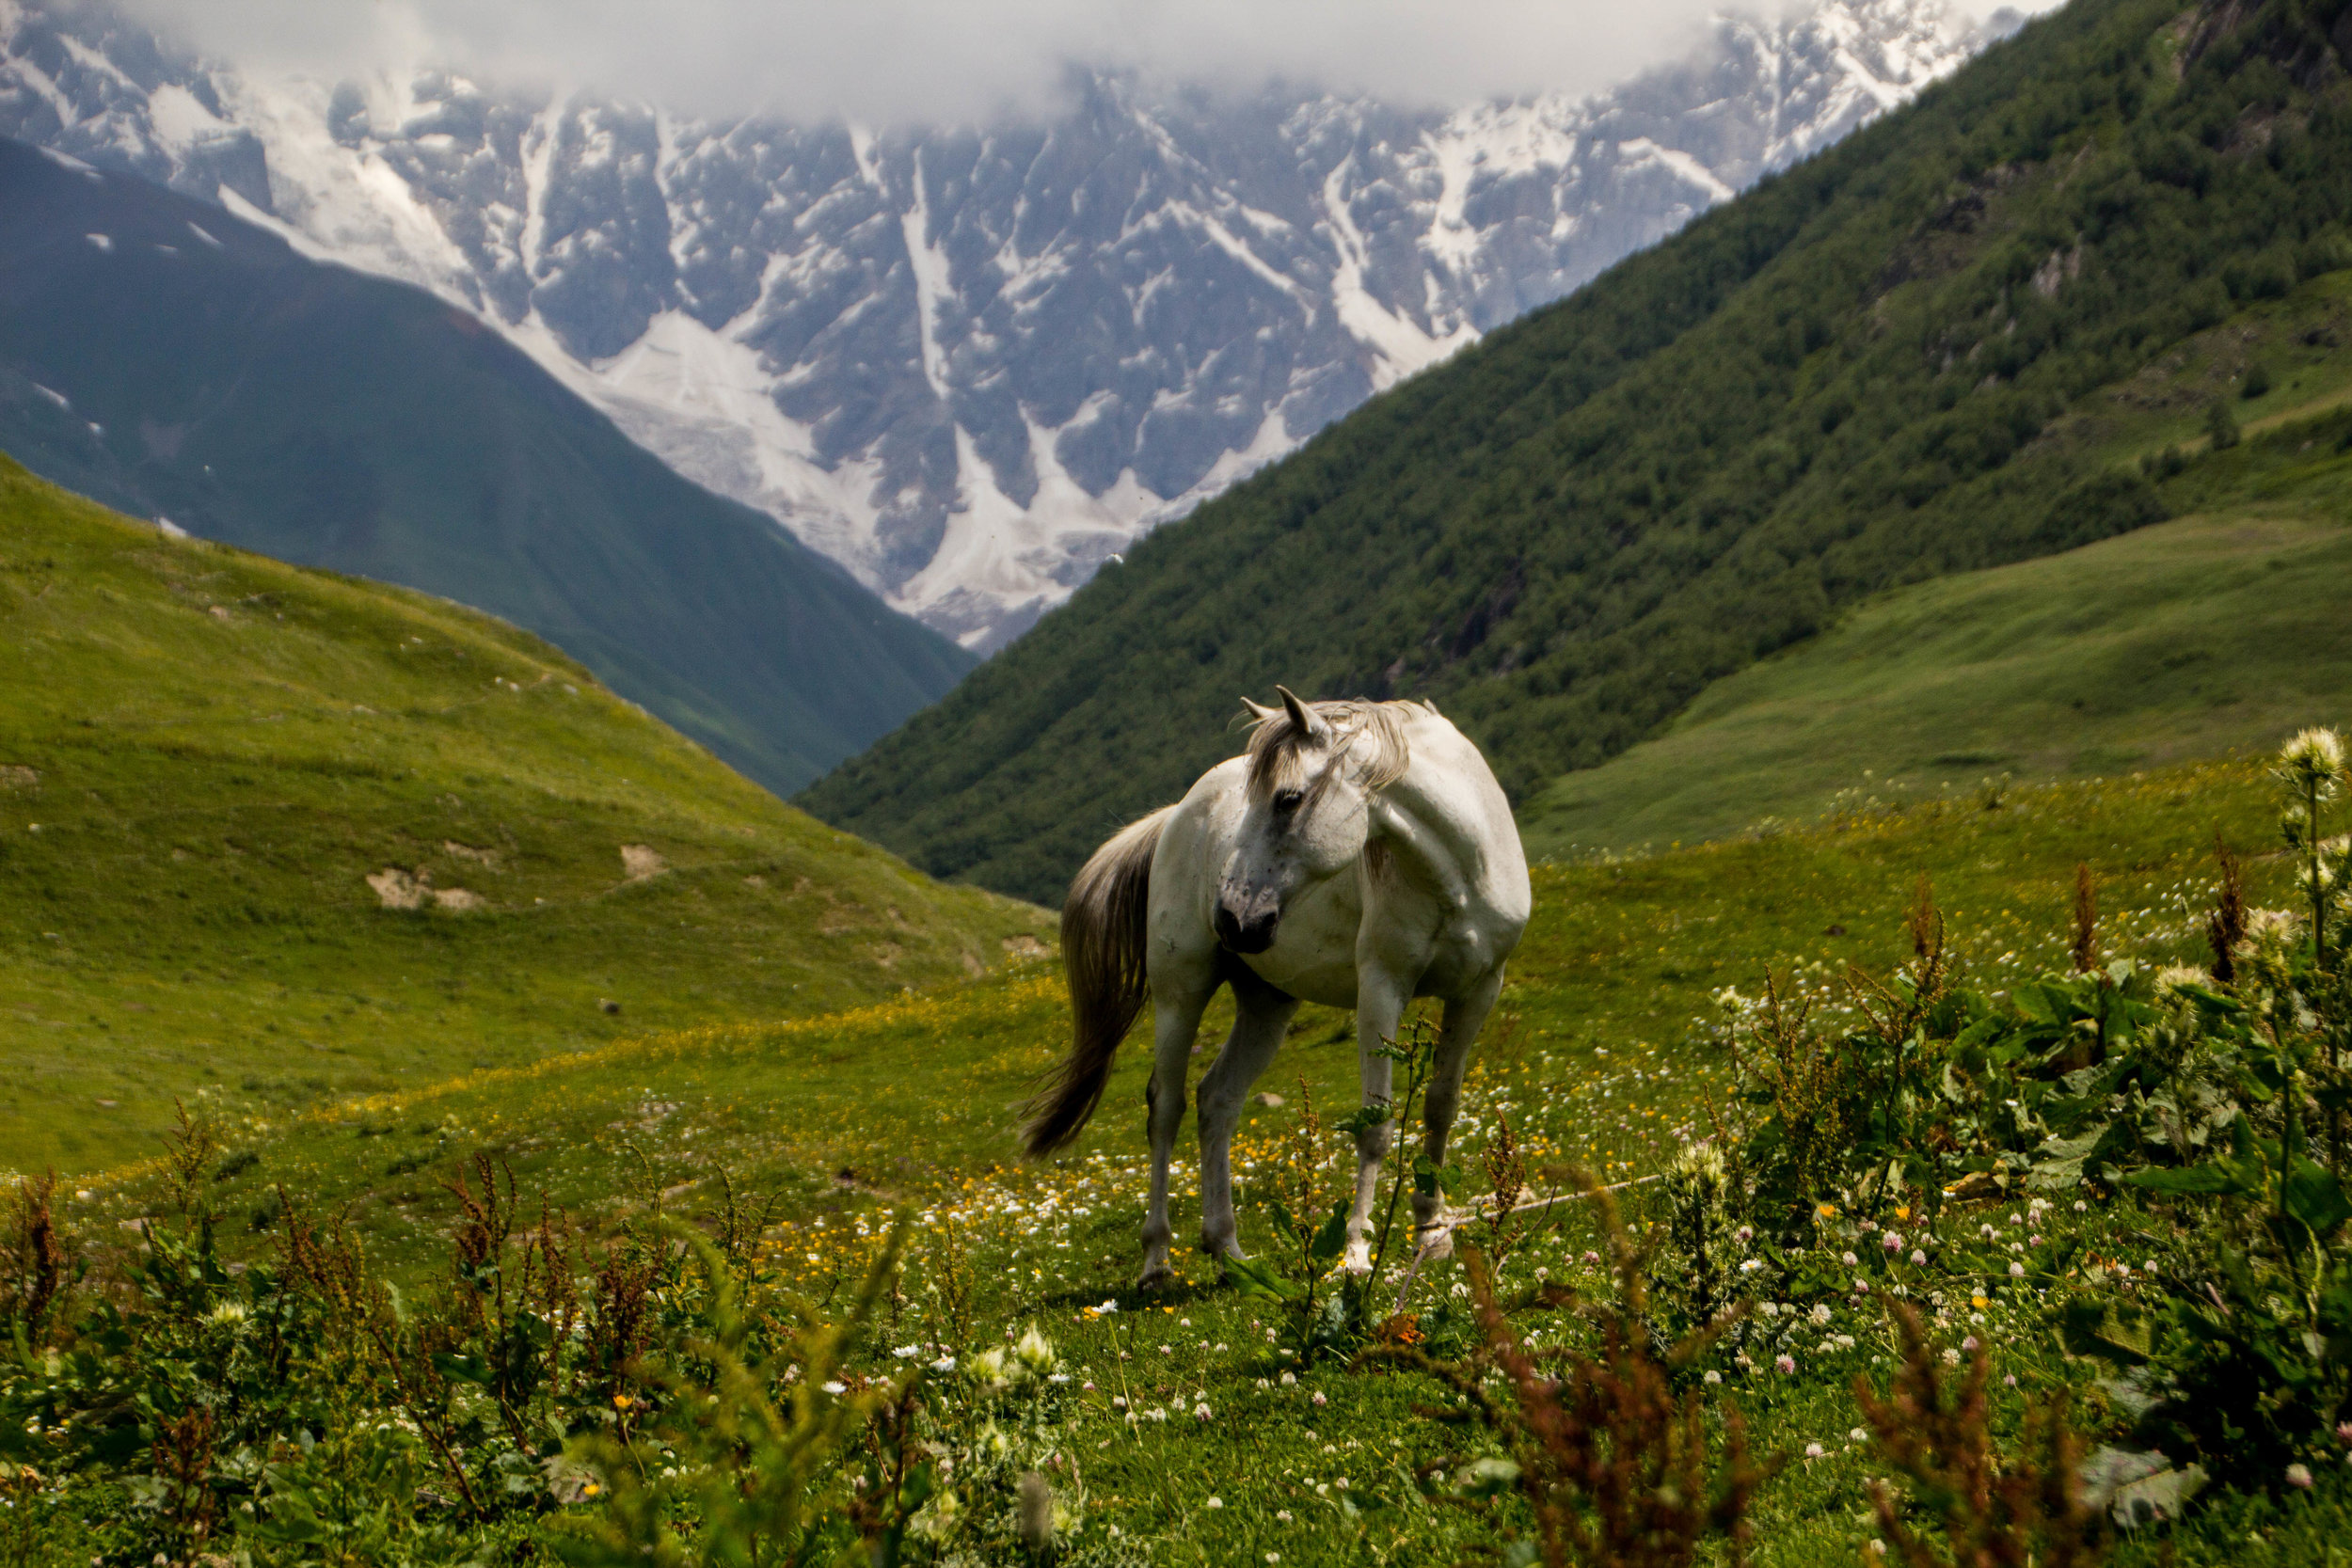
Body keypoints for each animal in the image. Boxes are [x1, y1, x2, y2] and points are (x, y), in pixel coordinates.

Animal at [1021, 690, 1534, 1288]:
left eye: (1288, 799)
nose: (1231, 916)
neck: (1460, 871)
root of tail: (1176, 815)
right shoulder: (1381, 991)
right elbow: (1376, 1126)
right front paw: (1356, 1253)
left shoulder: (1478, 992)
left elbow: (1440, 1110)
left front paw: (1431, 1233)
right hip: (1180, 992)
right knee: (1166, 1107)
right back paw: (1157, 1261)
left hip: (1266, 1004)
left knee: (1217, 1099)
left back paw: (1227, 1248)